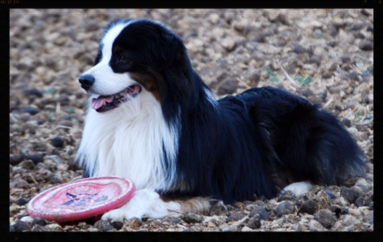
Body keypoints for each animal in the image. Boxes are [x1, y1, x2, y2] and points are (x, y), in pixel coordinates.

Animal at [76, 18, 368, 221]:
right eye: (100, 57)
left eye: (123, 58)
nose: (83, 80)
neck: (135, 118)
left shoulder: (201, 186)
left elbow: (145, 191)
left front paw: (118, 211)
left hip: (293, 131)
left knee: (318, 171)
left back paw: (292, 189)